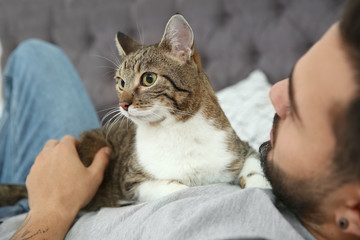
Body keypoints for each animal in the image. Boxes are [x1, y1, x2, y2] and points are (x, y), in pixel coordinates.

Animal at [0, 15, 270, 211]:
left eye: (148, 79)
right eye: (120, 82)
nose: (123, 104)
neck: (174, 129)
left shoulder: (239, 146)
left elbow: (253, 163)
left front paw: (258, 185)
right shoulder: (132, 180)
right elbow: (180, 189)